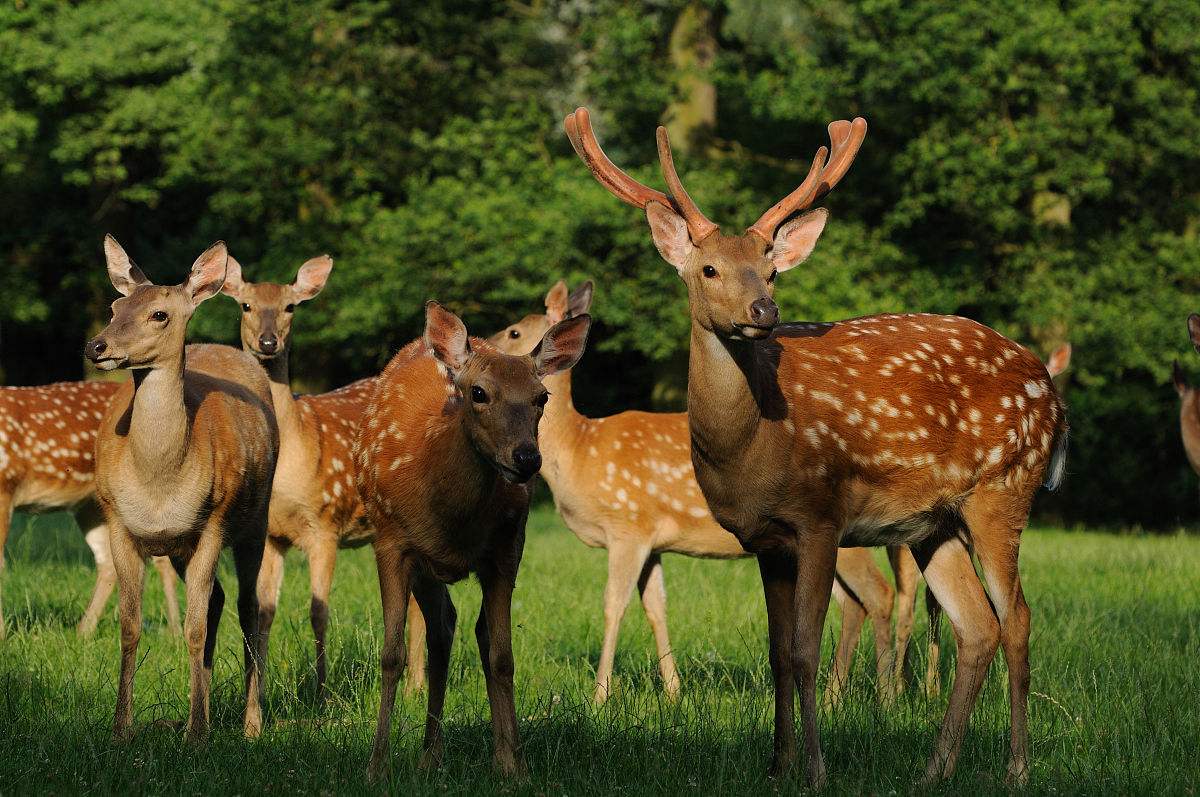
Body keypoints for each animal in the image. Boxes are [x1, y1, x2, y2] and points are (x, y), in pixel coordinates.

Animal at [1, 379, 180, 633]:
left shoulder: (5, 487)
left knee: (161, 558)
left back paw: (175, 630)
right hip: (90, 505)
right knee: (108, 562)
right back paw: (82, 632)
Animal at [87, 236, 278, 739]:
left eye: (159, 314)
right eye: (115, 306)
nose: (97, 345)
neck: (159, 483)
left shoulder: (213, 524)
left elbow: (192, 629)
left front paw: (196, 736)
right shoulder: (119, 521)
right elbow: (130, 627)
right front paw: (121, 728)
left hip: (256, 519)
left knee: (250, 608)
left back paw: (250, 724)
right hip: (180, 545)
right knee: (218, 601)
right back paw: (205, 707)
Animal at [220, 255, 427, 696]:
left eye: (290, 307)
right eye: (245, 305)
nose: (268, 342)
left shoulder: (326, 526)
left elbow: (319, 612)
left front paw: (321, 691)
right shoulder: (272, 535)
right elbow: (265, 613)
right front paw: (262, 689)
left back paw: (415, 686)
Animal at [352, 300, 588, 777]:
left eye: (541, 397)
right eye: (478, 393)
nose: (526, 458)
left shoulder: (506, 549)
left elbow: (501, 655)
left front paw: (514, 764)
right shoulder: (391, 542)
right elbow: (391, 654)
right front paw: (376, 766)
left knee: (458, 629)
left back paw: (441, 754)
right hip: (421, 562)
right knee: (441, 628)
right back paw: (428, 755)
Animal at [561, 105, 1070, 782]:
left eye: (772, 268)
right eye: (708, 268)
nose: (763, 309)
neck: (750, 449)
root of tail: (1054, 397)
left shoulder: (821, 515)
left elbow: (805, 649)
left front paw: (816, 770)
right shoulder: (765, 539)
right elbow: (778, 652)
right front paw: (776, 765)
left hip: (1003, 489)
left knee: (1016, 619)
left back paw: (1015, 768)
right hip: (934, 523)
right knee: (977, 627)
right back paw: (933, 771)